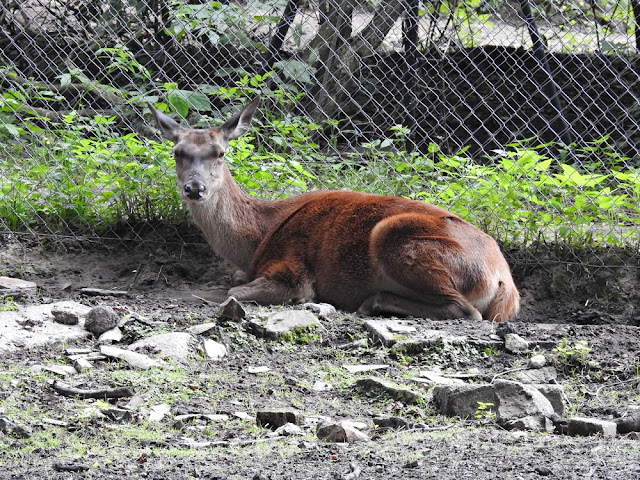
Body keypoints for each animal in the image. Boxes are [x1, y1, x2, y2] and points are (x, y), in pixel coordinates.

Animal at [150, 96, 520, 322]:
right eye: (177, 152)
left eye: (221, 152)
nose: (194, 188)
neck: (256, 238)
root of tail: (505, 283)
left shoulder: (292, 272)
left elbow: (232, 290)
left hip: (396, 237)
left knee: (468, 312)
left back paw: (373, 301)